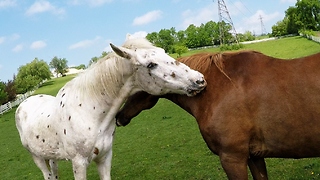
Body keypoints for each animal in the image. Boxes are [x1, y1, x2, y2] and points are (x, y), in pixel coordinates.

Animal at [15, 35, 206, 179]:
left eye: (164, 52)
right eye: (151, 64)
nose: (199, 80)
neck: (89, 112)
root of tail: (23, 104)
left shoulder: (105, 158)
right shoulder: (79, 164)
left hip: (51, 156)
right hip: (37, 157)